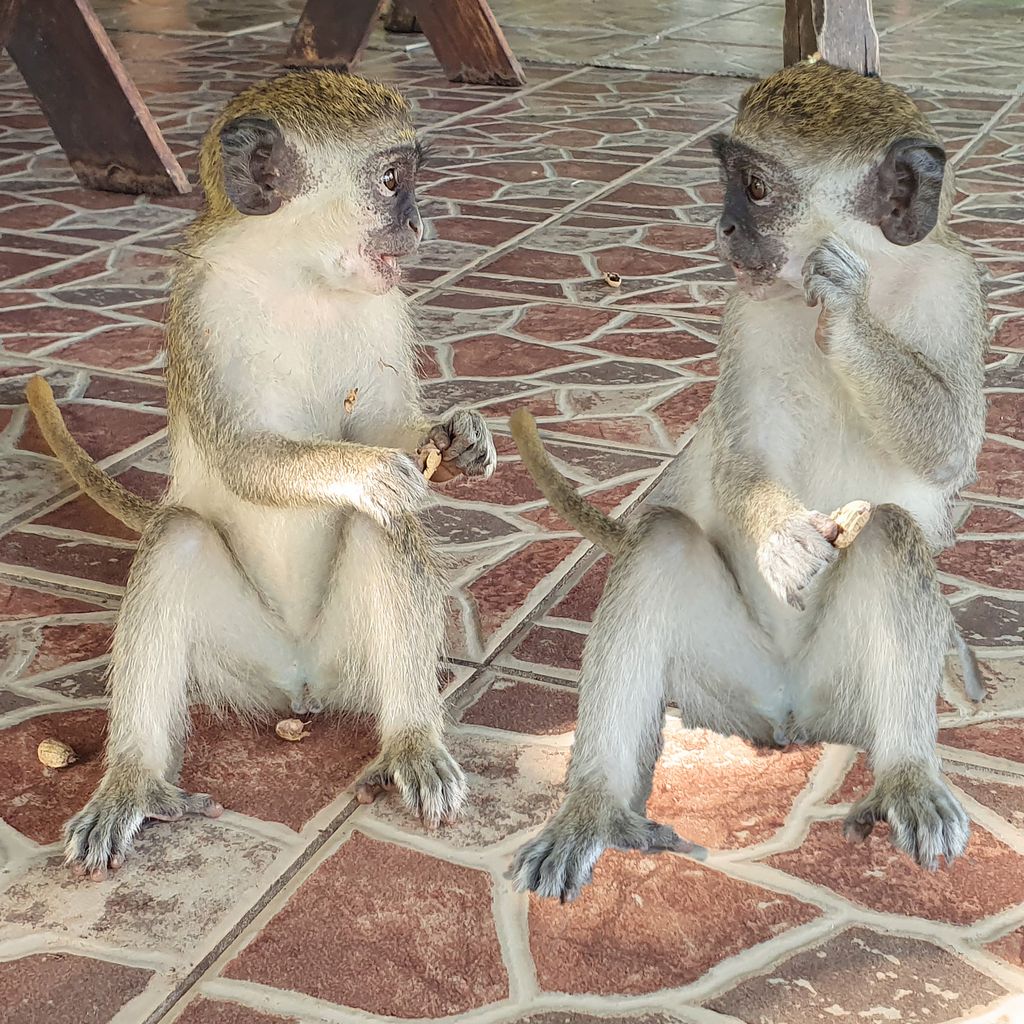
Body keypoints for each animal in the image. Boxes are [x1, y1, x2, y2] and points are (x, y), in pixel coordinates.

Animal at [25, 70, 497, 880]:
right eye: (393, 179)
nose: (419, 226)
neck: (295, 275)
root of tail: (299, 680)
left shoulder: (386, 303)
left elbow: (385, 426)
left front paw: (455, 436)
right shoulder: (201, 310)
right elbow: (246, 457)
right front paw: (370, 469)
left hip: (347, 654)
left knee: (384, 532)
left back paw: (411, 738)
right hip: (235, 657)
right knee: (180, 534)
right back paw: (134, 778)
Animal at [507, 59, 987, 901]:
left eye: (756, 189)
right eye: (729, 180)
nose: (723, 228)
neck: (886, 271)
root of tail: (789, 712)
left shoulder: (955, 288)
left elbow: (951, 447)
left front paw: (847, 312)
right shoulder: (746, 311)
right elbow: (742, 462)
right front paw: (783, 540)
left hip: (842, 689)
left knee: (891, 532)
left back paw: (906, 774)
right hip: (724, 681)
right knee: (661, 541)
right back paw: (594, 805)